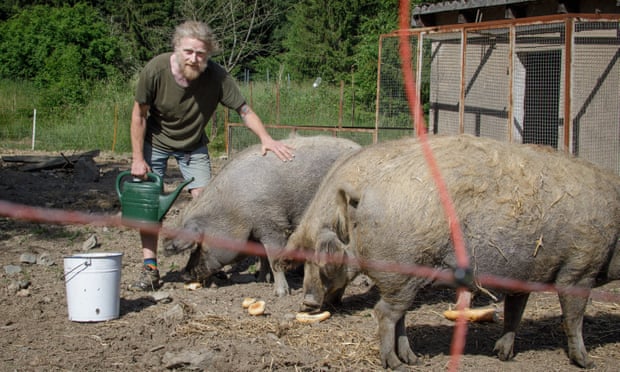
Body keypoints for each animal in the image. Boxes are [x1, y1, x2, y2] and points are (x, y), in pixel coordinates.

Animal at [163, 136, 364, 296]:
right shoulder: (257, 229)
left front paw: (281, 293)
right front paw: (261, 280)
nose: (185, 274)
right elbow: (262, 256)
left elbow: (274, 257)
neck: (235, 209)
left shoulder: (272, 224)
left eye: (199, 246)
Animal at [284, 134, 620, 370]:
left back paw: (412, 360)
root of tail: (362, 194)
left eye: (320, 260)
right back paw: (394, 364)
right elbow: (573, 318)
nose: (307, 303)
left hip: (407, 277)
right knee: (384, 313)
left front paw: (504, 356)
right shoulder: (579, 267)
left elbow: (515, 313)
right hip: (403, 272)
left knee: (396, 315)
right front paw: (588, 363)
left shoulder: (525, 276)